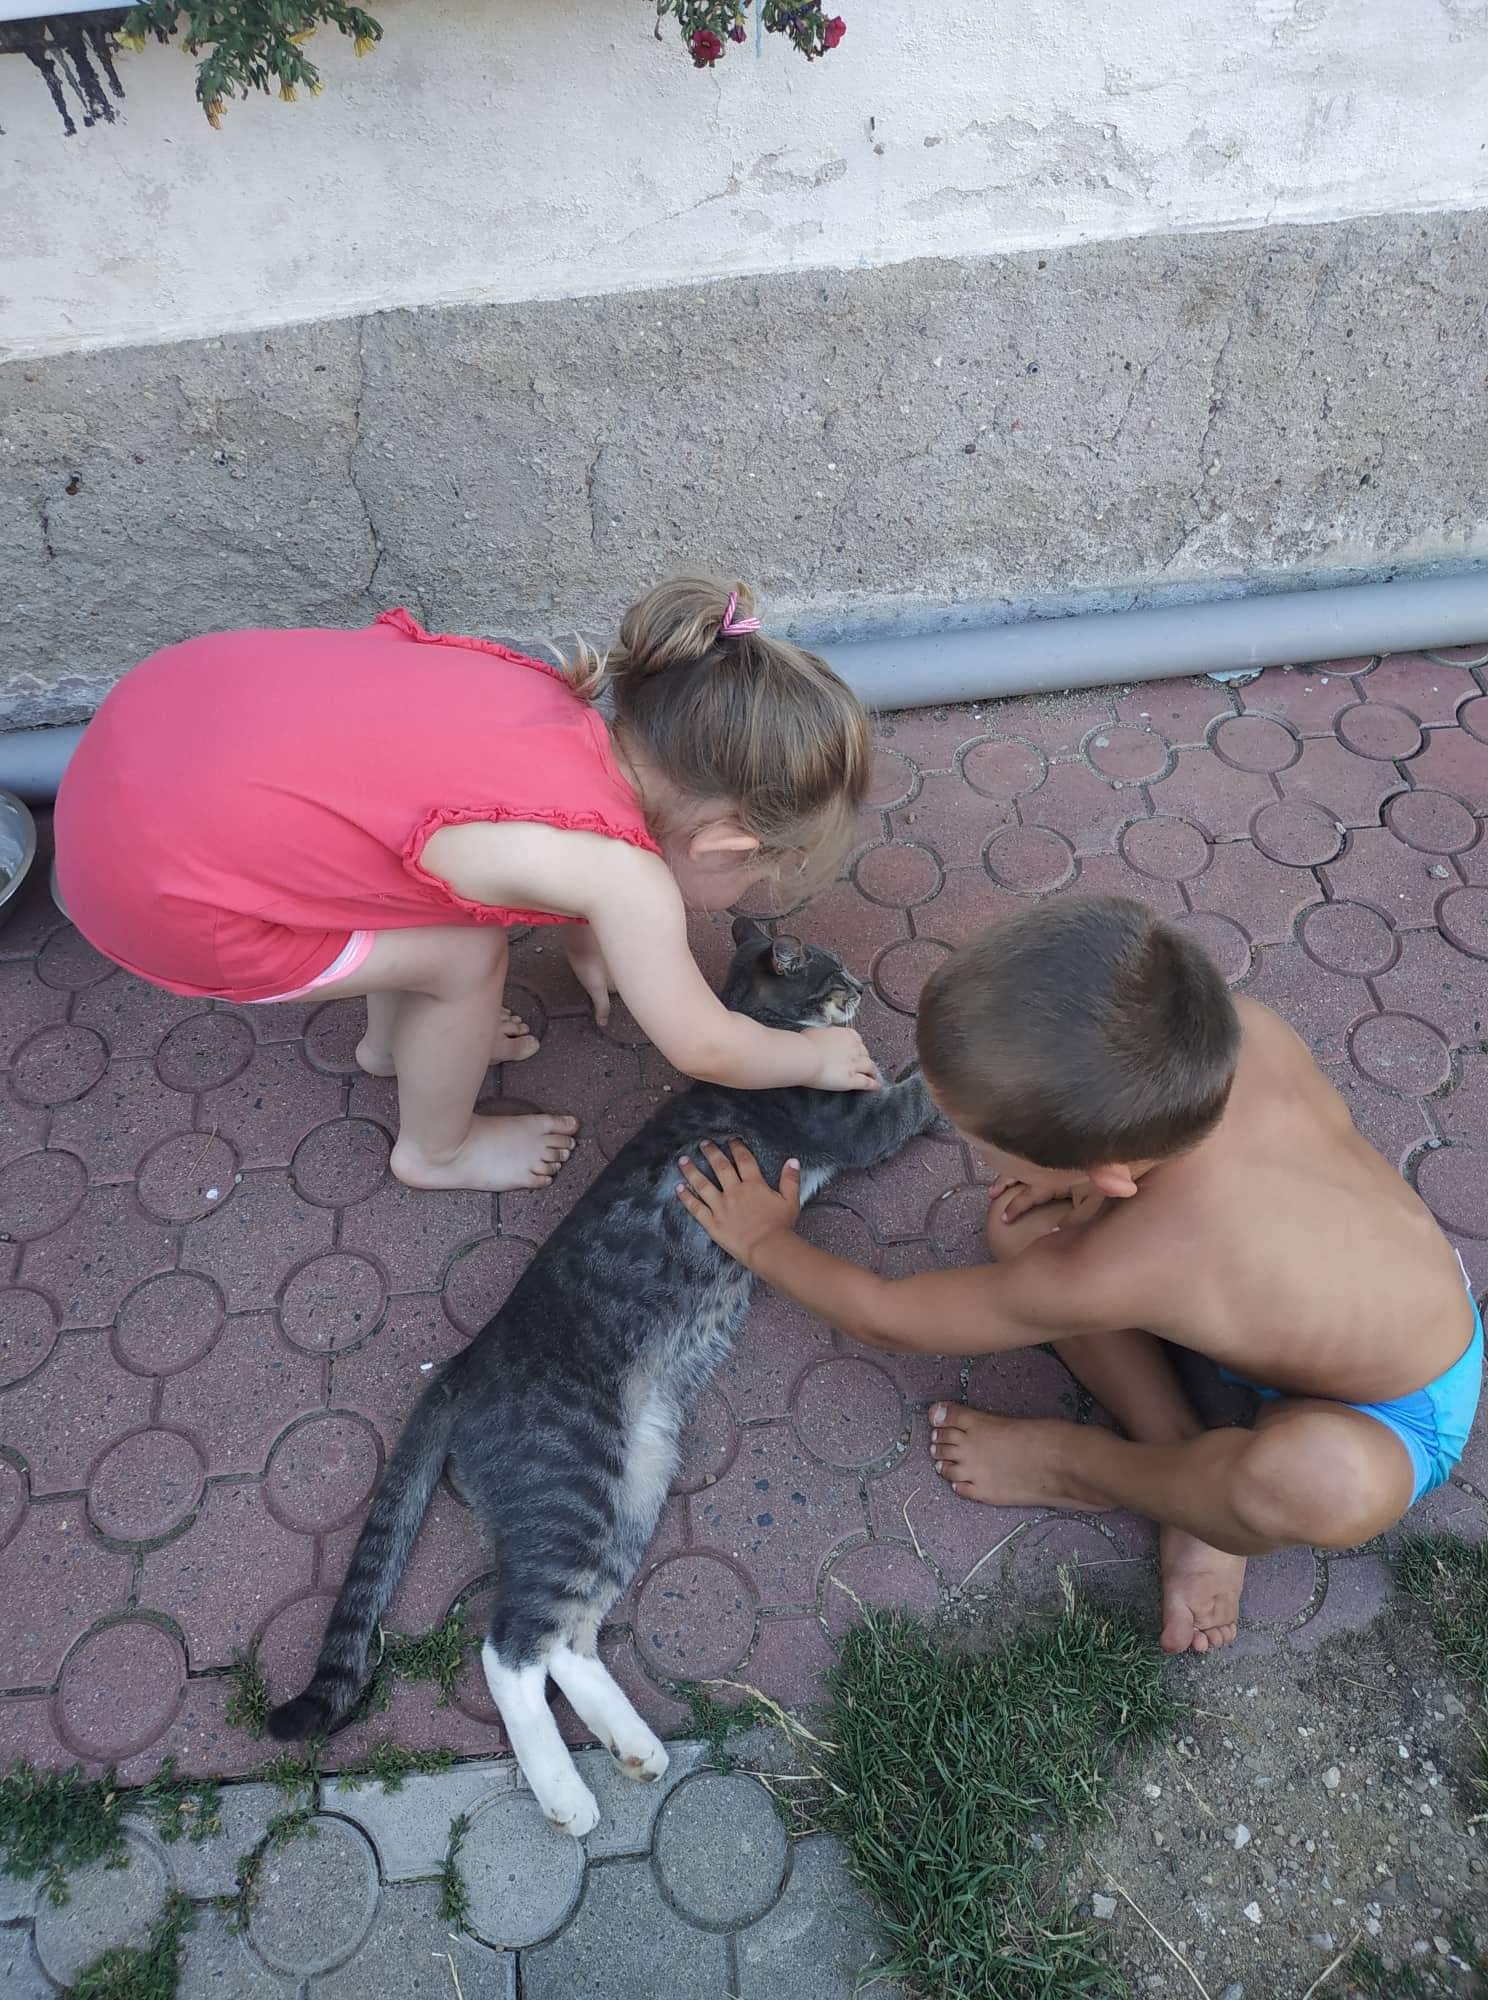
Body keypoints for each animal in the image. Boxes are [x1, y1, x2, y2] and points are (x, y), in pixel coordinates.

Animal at [268, 916, 936, 1835]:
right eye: (832, 974)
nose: (864, 989)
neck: (756, 1023)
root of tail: (468, 1361)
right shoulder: (854, 1120)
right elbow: (913, 1094)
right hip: (571, 1484)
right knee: (510, 1645)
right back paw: (567, 1797)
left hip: (634, 1485)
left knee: (568, 1636)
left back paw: (636, 1749)